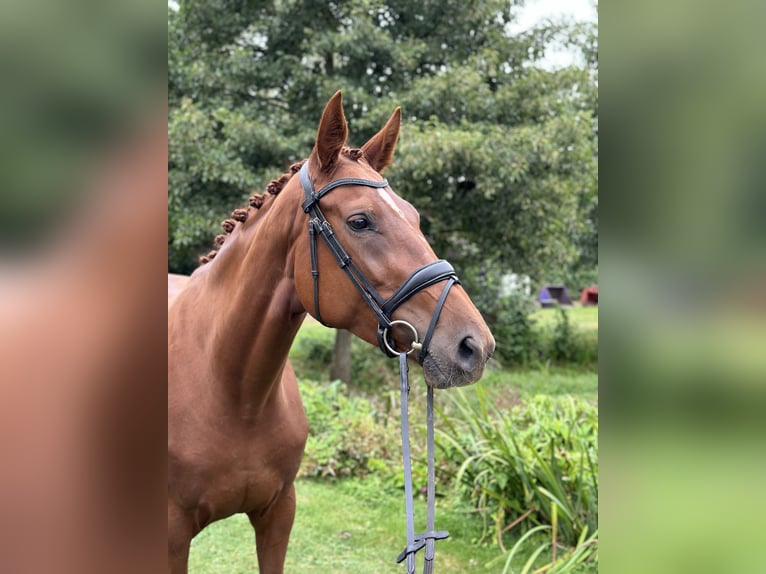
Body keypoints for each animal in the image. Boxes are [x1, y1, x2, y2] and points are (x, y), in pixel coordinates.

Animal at [166, 92, 498, 572]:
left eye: (414, 216)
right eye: (360, 221)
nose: (475, 345)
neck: (231, 390)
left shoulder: (278, 512)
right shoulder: (172, 536)